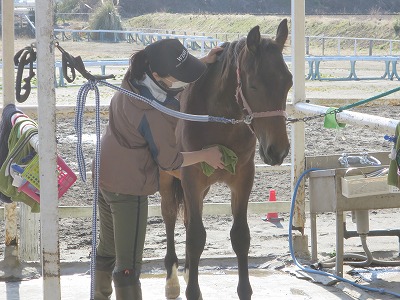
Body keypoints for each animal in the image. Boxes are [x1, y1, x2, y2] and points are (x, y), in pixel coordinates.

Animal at [159, 19, 290, 300]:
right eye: (253, 85)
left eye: (288, 82)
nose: (278, 150)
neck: (219, 121)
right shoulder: (192, 177)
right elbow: (196, 237)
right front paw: (193, 291)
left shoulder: (243, 179)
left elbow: (240, 236)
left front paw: (244, 290)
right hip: (167, 179)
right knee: (170, 216)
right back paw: (173, 280)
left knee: (186, 219)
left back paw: (187, 270)